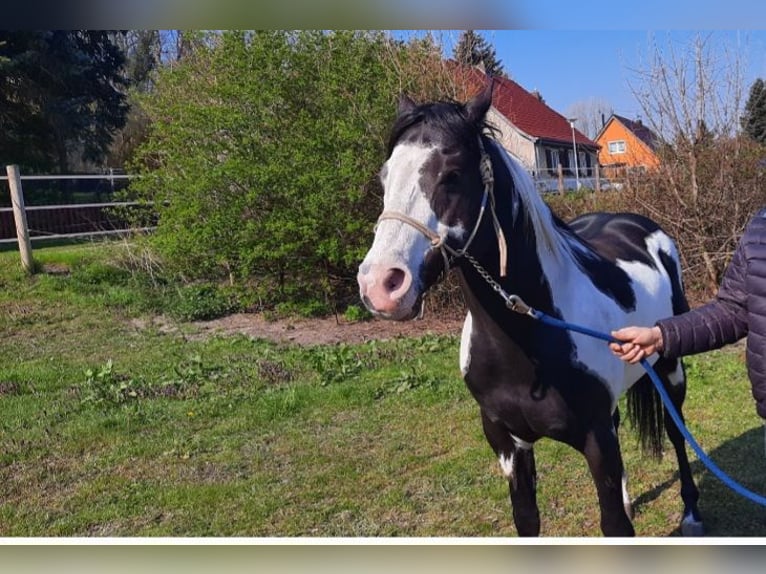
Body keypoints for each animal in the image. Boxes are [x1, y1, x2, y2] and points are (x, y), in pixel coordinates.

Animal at [356, 84, 703, 537]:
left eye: (452, 174)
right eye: (384, 178)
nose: (380, 285)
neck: (529, 342)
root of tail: (637, 223)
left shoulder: (596, 442)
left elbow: (614, 524)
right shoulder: (508, 444)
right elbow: (528, 521)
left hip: (670, 369)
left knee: (677, 432)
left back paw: (692, 512)